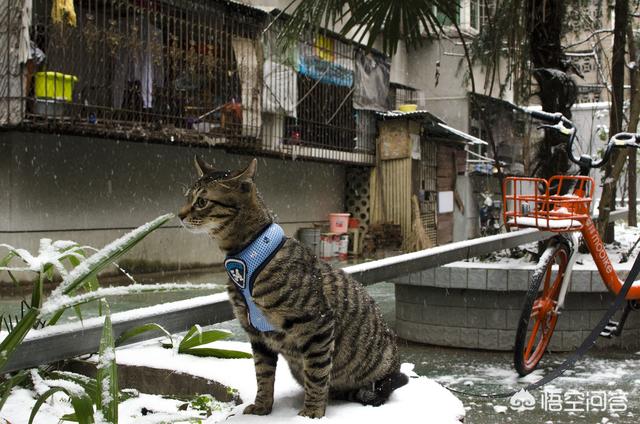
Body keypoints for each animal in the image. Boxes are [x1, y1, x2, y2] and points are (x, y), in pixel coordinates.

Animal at [179, 158, 410, 418]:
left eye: (201, 201)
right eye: (187, 198)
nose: (179, 215)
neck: (246, 257)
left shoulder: (317, 325)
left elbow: (317, 374)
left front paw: (312, 412)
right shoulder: (257, 336)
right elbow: (263, 375)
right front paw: (262, 405)